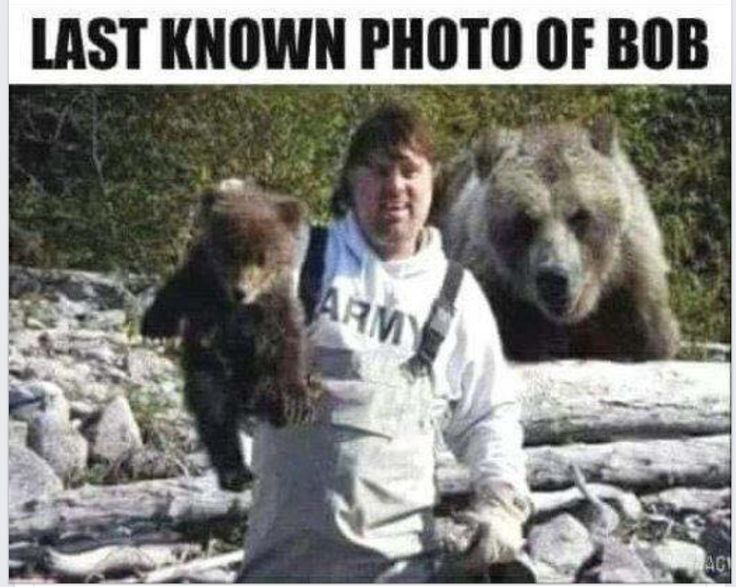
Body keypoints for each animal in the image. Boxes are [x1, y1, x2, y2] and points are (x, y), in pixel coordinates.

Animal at [141, 179, 320, 492]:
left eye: (263, 258)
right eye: (231, 253)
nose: (241, 291)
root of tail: (246, 400)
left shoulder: (275, 306)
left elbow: (289, 342)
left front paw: (297, 402)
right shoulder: (201, 282)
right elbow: (175, 293)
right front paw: (155, 327)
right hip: (212, 371)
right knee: (216, 413)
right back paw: (237, 473)